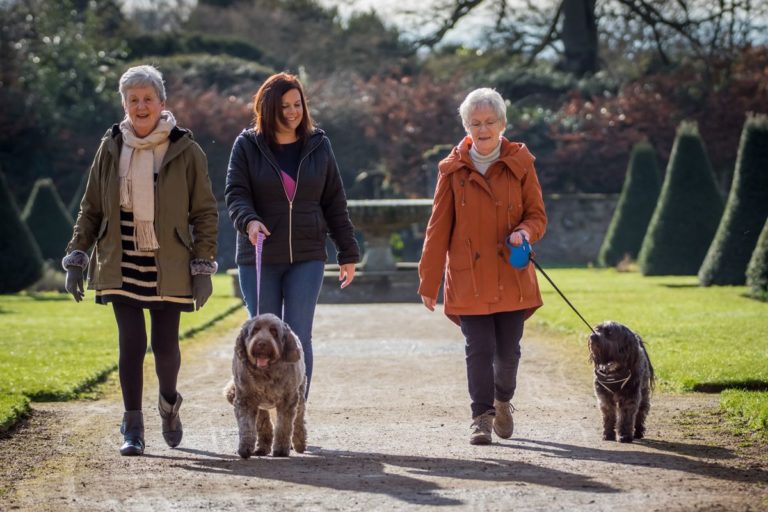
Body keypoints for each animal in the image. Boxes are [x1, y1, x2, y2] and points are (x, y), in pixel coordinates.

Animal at [222, 314, 306, 458]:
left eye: (274, 332)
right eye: (255, 330)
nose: (262, 344)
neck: (265, 373)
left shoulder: (288, 401)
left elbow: (284, 426)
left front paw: (281, 450)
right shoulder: (245, 400)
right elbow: (246, 426)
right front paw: (245, 448)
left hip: (299, 395)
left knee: (299, 419)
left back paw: (299, 442)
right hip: (259, 405)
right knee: (264, 424)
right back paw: (262, 447)